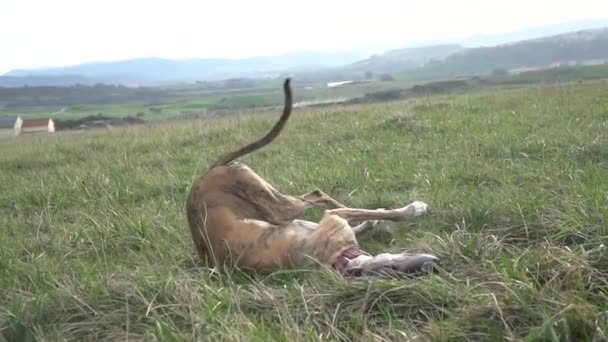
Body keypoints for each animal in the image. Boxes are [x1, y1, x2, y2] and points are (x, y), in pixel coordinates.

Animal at [188, 79, 440, 276]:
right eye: (393, 271)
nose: (431, 266)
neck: (337, 259)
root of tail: (204, 178)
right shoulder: (332, 220)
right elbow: (379, 214)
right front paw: (411, 209)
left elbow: (363, 219)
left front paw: (373, 220)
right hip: (277, 206)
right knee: (316, 196)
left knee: (315, 197)